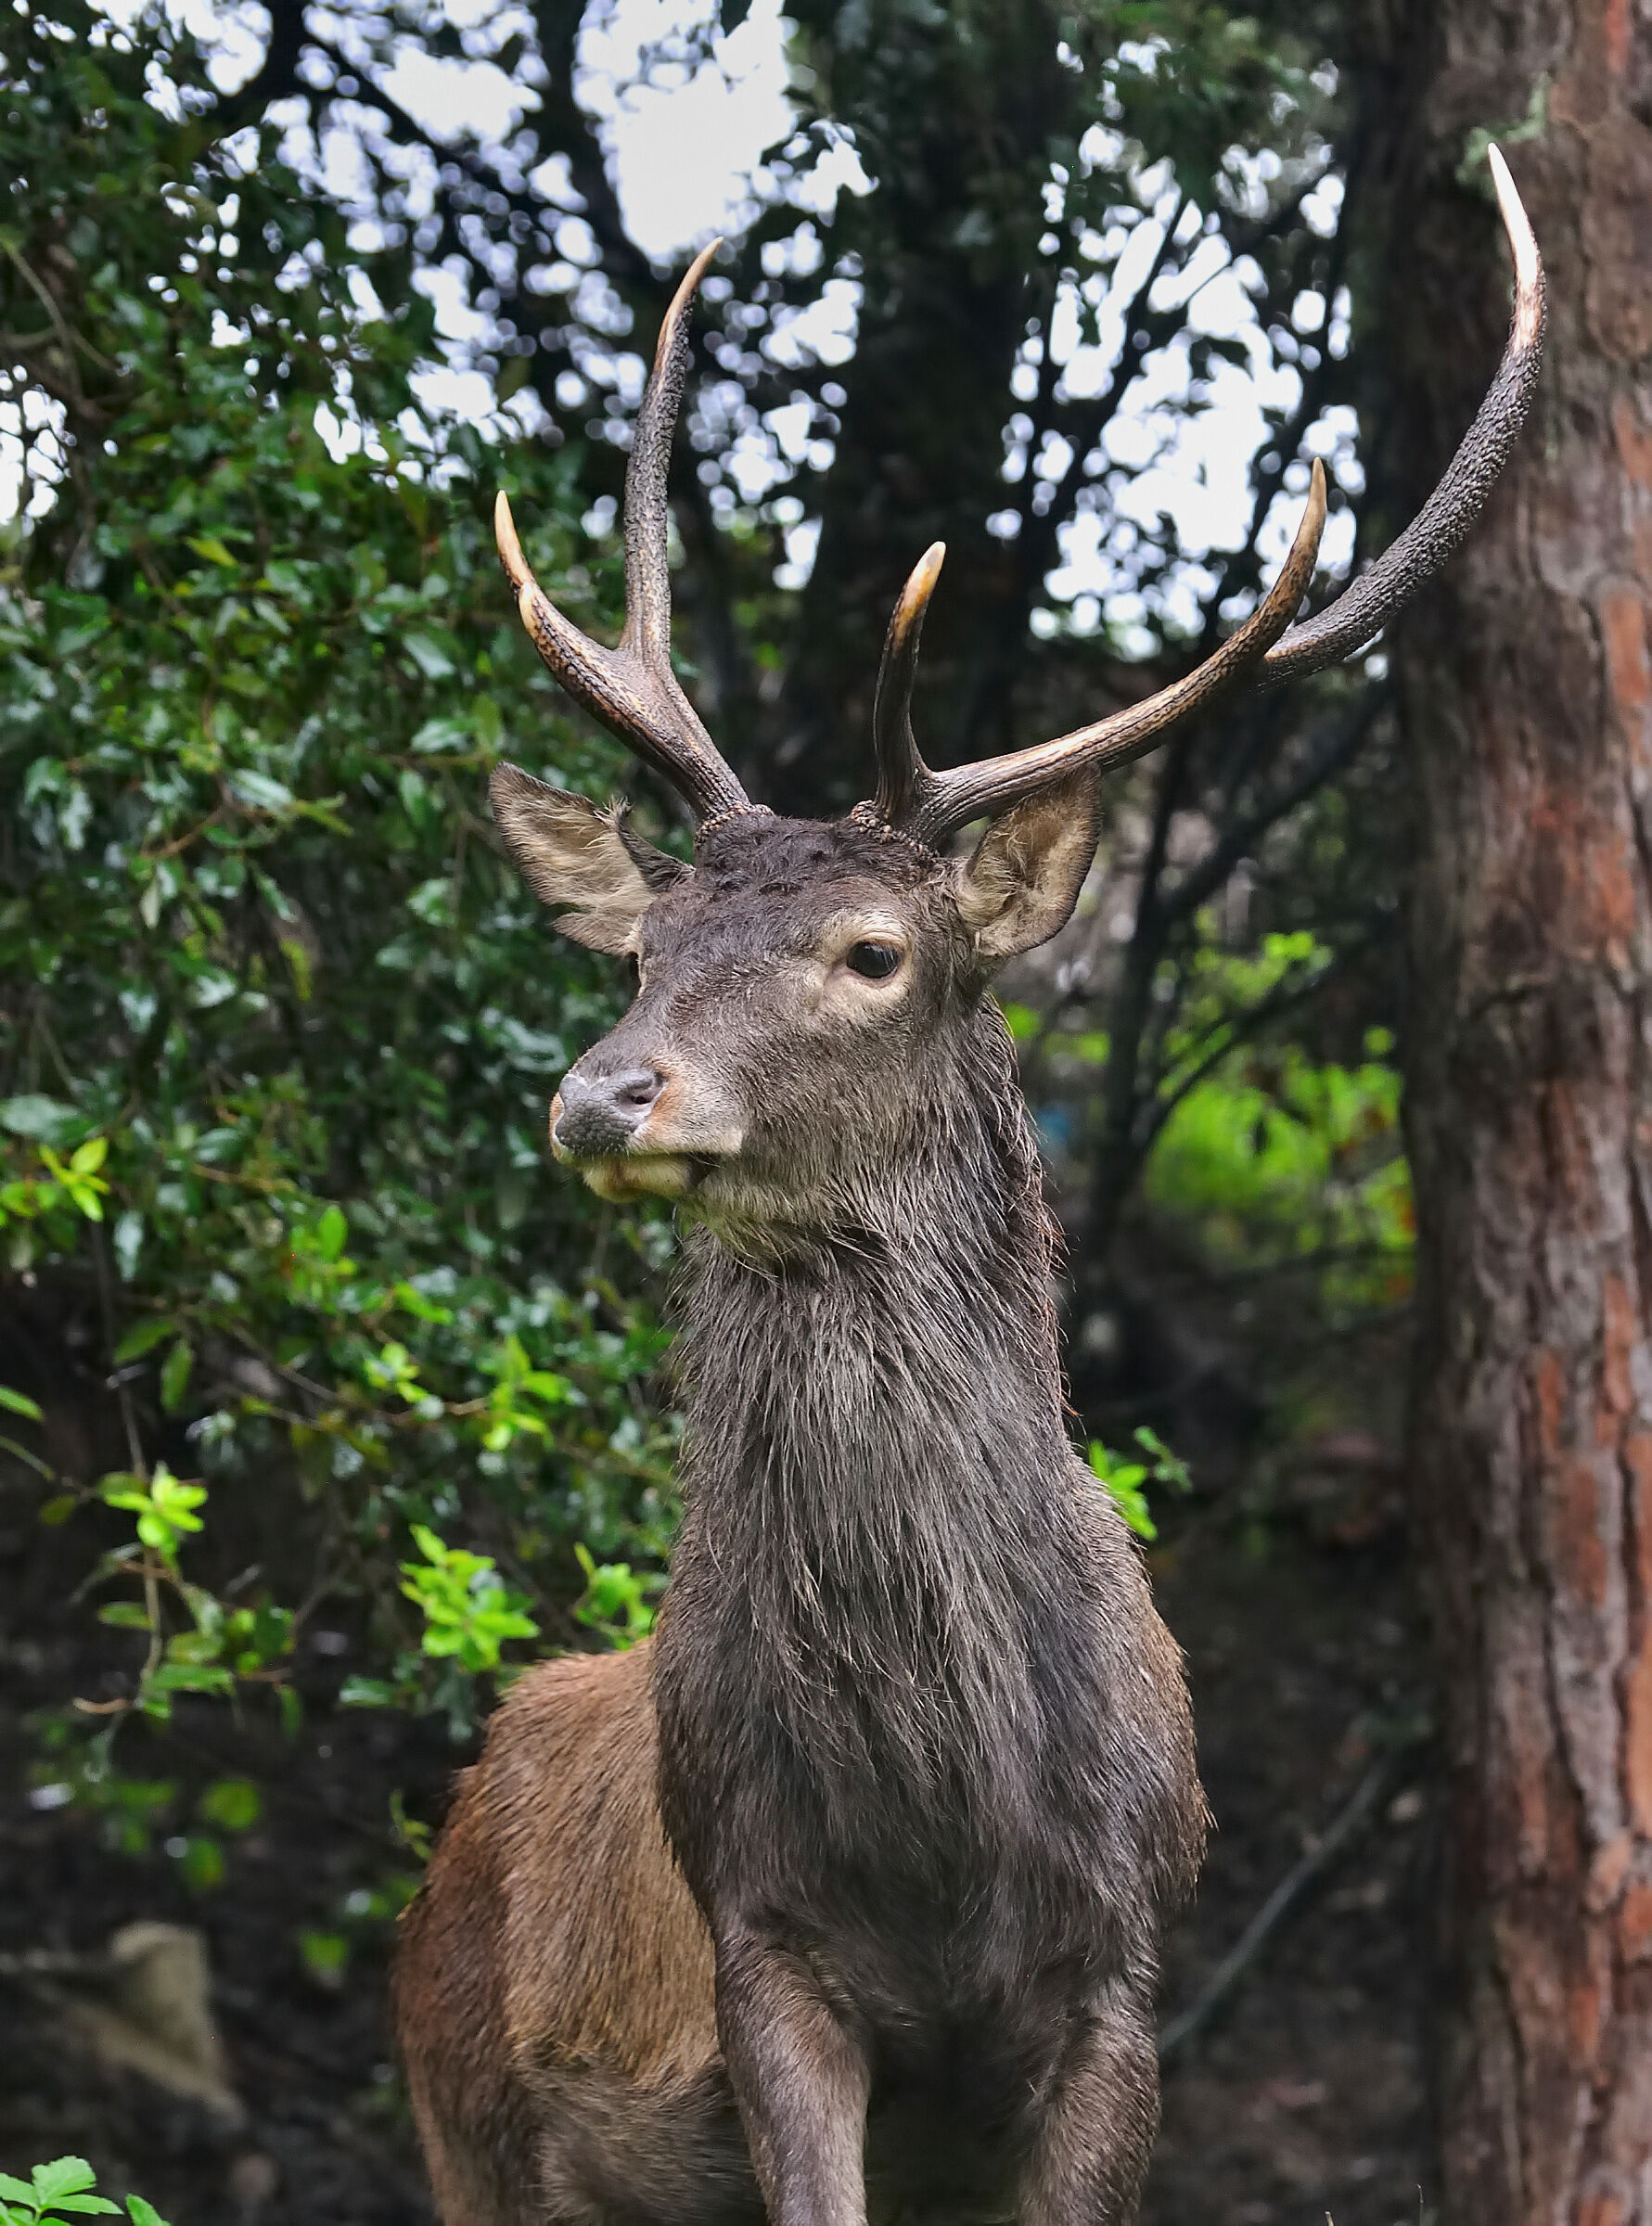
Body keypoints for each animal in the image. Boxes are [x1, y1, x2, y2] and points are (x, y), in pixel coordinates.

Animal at [394, 148, 1543, 2226]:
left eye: (871, 953)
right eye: (642, 949)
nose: (603, 1093)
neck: (942, 1830)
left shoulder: (1122, 1980)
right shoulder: (764, 1946)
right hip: (464, 2118)